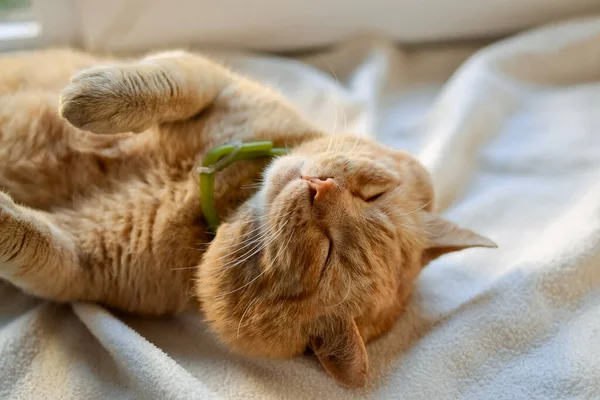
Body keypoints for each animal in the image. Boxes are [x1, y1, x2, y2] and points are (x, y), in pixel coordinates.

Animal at [0, 47, 494, 388]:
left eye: (325, 256)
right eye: (373, 193)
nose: (320, 188)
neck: (225, 198)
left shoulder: (74, 266)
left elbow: (24, 237)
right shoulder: (211, 79)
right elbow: (162, 83)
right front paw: (86, 98)